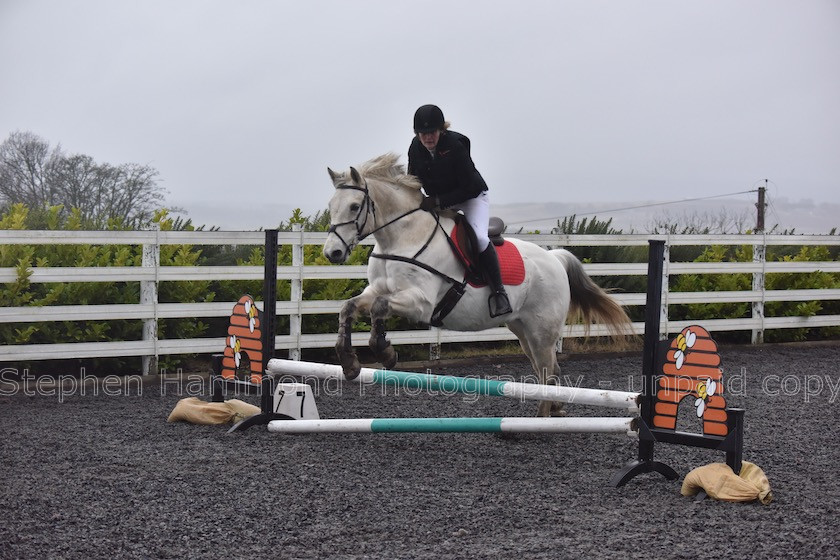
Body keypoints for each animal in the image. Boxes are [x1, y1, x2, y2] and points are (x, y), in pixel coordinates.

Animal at [324, 153, 632, 416]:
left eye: (354, 206)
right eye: (331, 207)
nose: (332, 253)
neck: (402, 238)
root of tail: (554, 258)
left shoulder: (421, 302)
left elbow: (379, 307)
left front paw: (385, 353)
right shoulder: (377, 290)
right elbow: (349, 307)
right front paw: (349, 363)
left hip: (542, 332)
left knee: (547, 370)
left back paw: (539, 421)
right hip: (522, 329)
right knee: (547, 369)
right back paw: (555, 409)